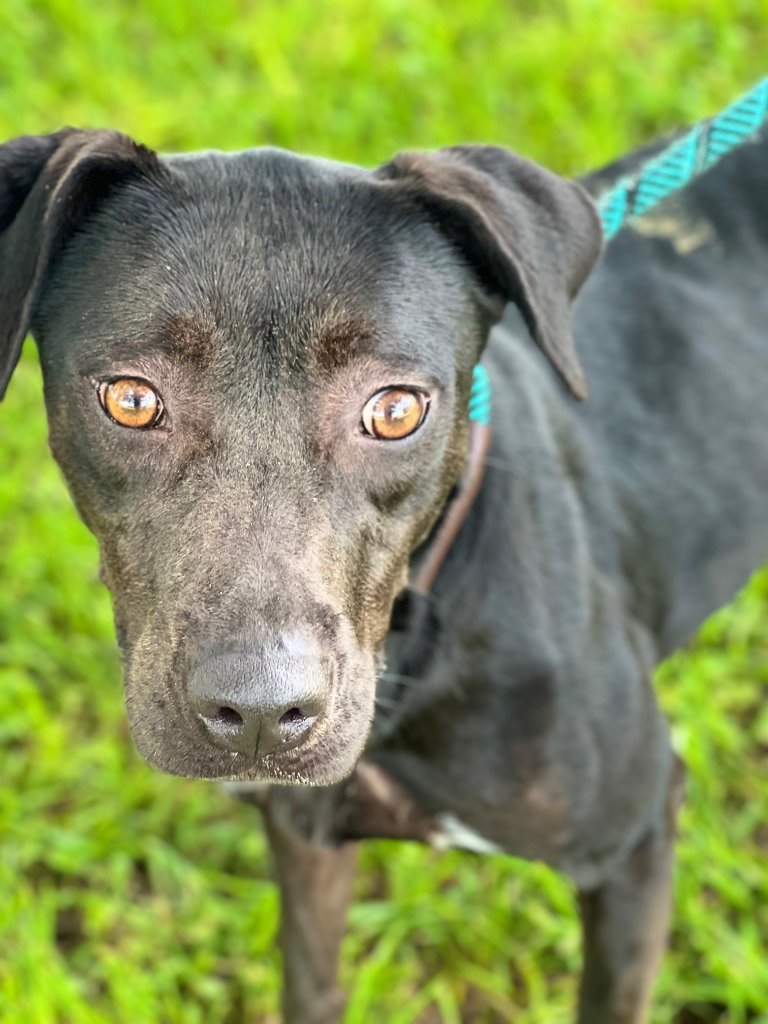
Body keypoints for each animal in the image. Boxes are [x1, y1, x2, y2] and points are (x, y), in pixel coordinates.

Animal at [1, 123, 768, 1019]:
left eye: (396, 410)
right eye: (130, 399)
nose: (260, 712)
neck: (414, 650)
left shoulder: (636, 841)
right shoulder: (306, 838)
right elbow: (313, 983)